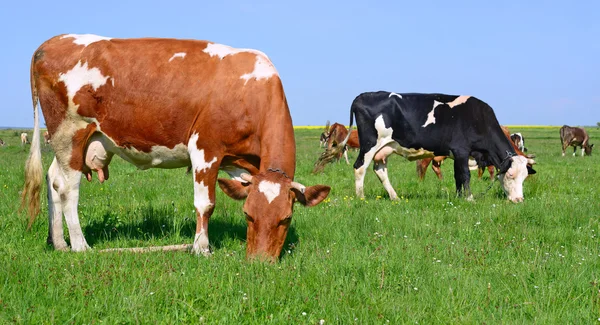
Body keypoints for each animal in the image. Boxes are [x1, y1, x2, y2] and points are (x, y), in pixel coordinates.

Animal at [21, 33, 330, 260]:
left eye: (286, 219)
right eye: (247, 215)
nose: (260, 263)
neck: (251, 92)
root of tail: (53, 41)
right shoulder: (205, 149)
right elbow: (205, 204)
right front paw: (201, 248)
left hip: (70, 142)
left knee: (53, 180)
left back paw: (59, 242)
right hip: (70, 132)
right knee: (68, 189)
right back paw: (80, 245)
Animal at [336, 91, 536, 201]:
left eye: (525, 177)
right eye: (510, 175)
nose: (519, 200)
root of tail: (363, 95)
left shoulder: (456, 154)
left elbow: (457, 176)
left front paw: (459, 197)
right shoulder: (461, 150)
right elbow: (465, 175)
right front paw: (470, 198)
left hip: (384, 149)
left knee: (380, 171)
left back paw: (395, 197)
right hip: (370, 144)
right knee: (360, 167)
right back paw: (361, 197)